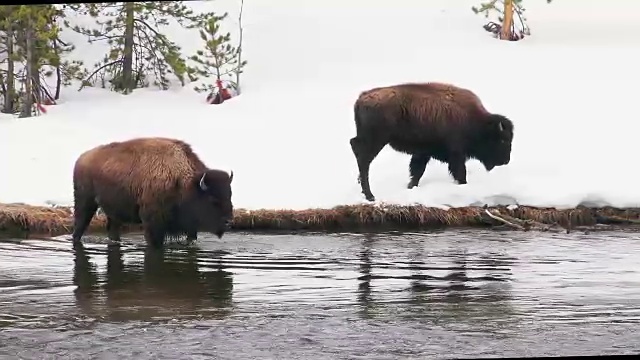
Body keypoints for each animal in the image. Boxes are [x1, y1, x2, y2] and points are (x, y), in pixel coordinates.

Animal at [71, 136, 235, 249]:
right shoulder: (153, 224)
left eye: (230, 196)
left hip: (113, 212)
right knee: (79, 226)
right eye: (213, 200)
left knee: (112, 229)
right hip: (85, 203)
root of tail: (81, 158)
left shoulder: (190, 228)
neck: (183, 182)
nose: (229, 222)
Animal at [350, 82, 516, 202]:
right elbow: (460, 172)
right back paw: (370, 196)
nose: (506, 160)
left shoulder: (423, 152)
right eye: (503, 140)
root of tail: (362, 98)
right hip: (377, 140)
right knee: (364, 160)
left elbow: (417, 171)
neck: (476, 121)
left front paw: (411, 187)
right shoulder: (457, 154)